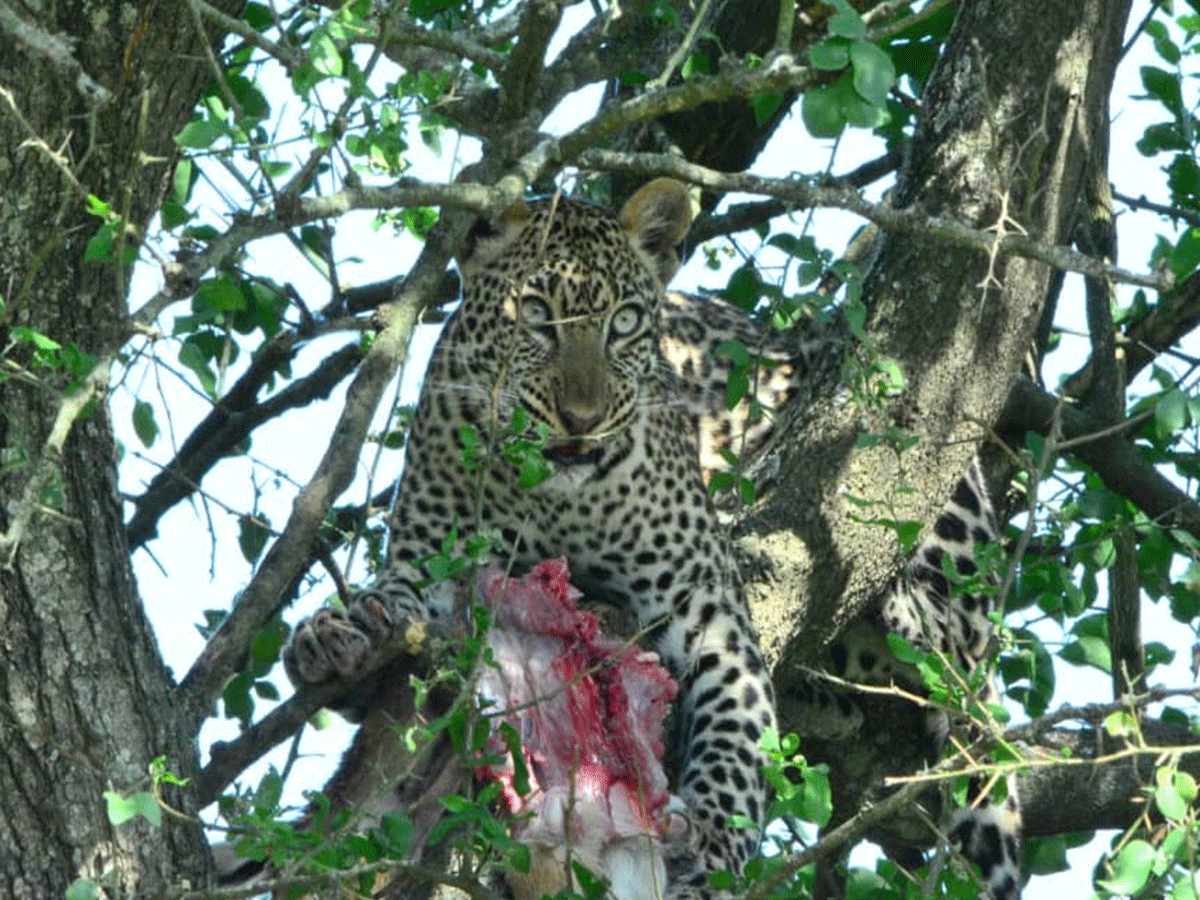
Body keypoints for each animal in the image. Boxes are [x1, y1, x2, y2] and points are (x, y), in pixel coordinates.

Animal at [283, 180, 787, 897]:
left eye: (624, 322)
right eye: (536, 312)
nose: (580, 419)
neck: (555, 494)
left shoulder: (709, 607)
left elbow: (737, 735)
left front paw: (715, 842)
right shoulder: (430, 559)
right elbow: (397, 605)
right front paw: (340, 633)